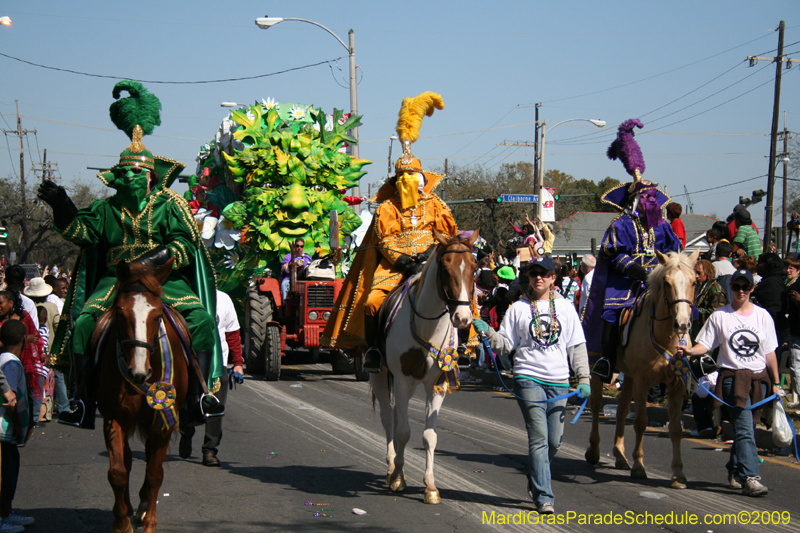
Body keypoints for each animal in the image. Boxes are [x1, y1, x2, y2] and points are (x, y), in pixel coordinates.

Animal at [94, 256, 190, 528]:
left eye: (157, 315)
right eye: (120, 312)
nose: (138, 372)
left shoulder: (163, 420)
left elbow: (155, 472)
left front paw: (149, 522)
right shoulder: (113, 417)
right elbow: (118, 471)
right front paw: (122, 523)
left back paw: (144, 506)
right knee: (126, 461)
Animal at [370, 229, 478, 502]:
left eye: (474, 267)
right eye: (445, 268)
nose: (463, 319)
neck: (428, 324)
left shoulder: (436, 384)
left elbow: (429, 436)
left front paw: (430, 487)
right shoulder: (402, 380)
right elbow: (403, 431)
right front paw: (398, 478)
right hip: (380, 376)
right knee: (388, 418)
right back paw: (391, 467)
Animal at [584, 249, 696, 486]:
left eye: (693, 281)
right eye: (667, 282)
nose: (682, 324)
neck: (665, 336)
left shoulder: (677, 384)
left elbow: (675, 428)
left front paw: (678, 474)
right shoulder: (643, 382)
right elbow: (641, 421)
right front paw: (638, 466)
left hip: (629, 376)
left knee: (621, 410)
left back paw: (619, 455)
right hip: (598, 367)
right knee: (596, 405)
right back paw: (594, 451)